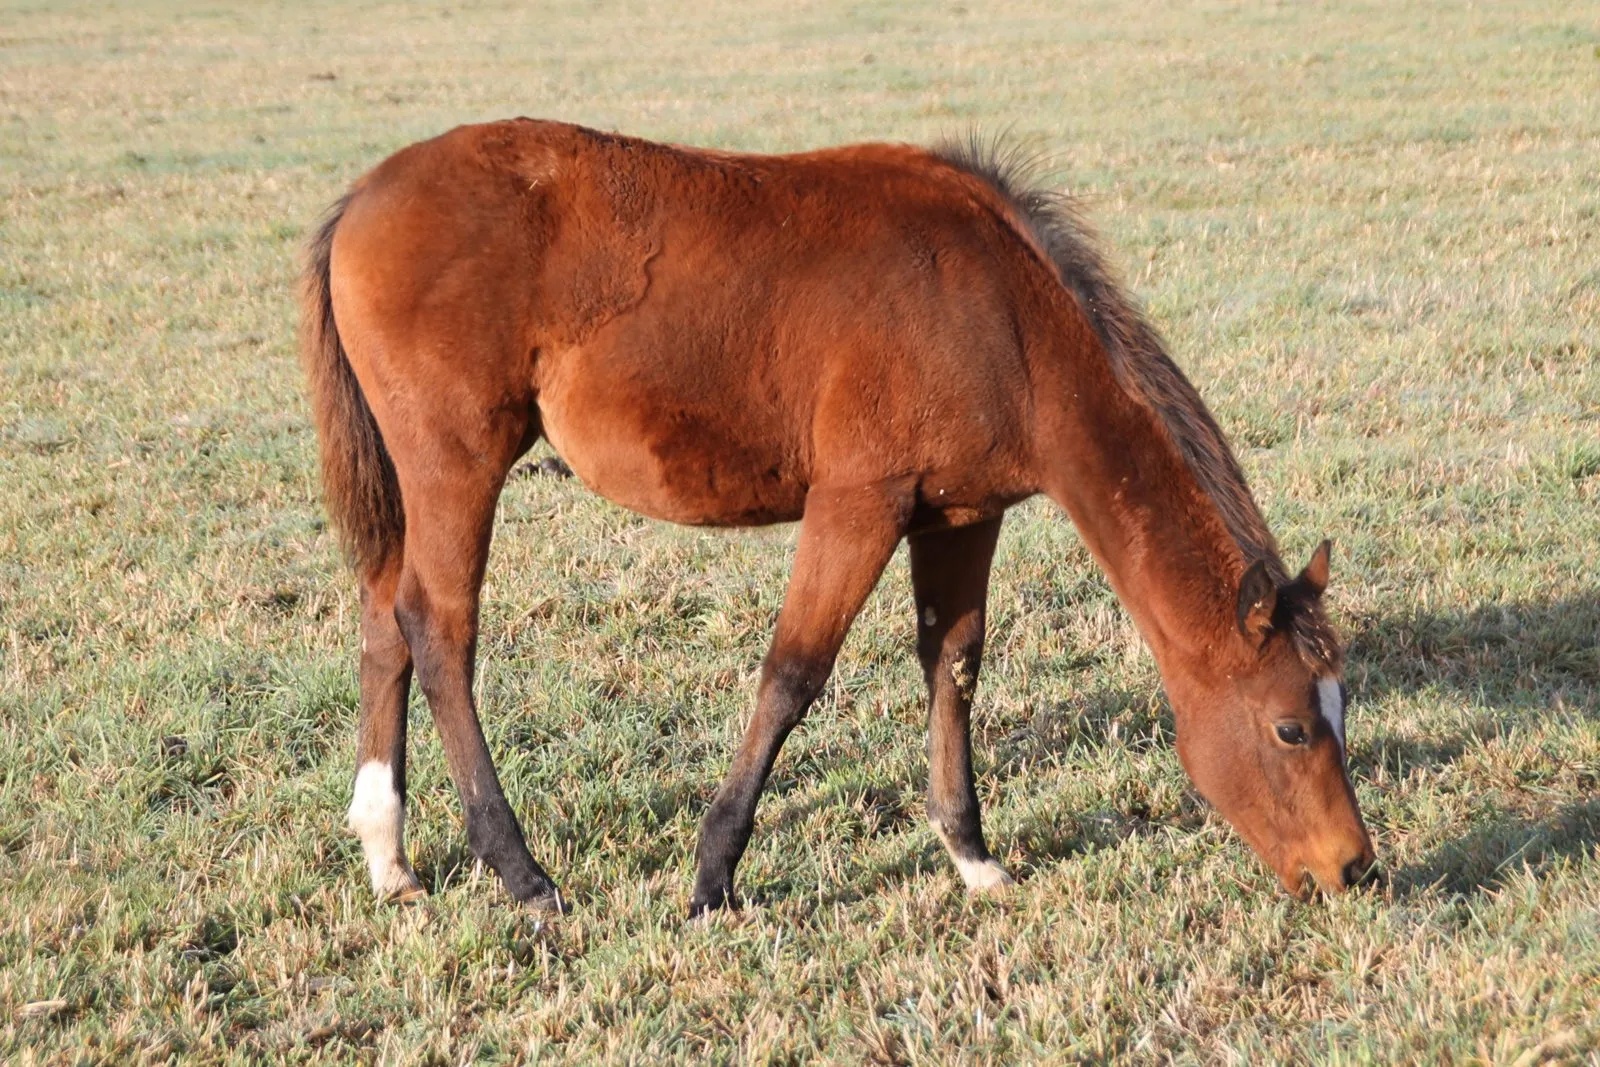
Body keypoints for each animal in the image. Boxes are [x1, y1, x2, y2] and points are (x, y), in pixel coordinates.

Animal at [300, 119, 1376, 916]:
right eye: (1289, 727)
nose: (1354, 867)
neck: (1001, 311)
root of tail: (361, 197)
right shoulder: (859, 501)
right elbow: (792, 674)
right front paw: (712, 875)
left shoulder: (960, 514)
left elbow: (954, 663)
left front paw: (971, 853)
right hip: (457, 464)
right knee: (439, 631)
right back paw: (521, 871)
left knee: (386, 622)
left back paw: (388, 852)